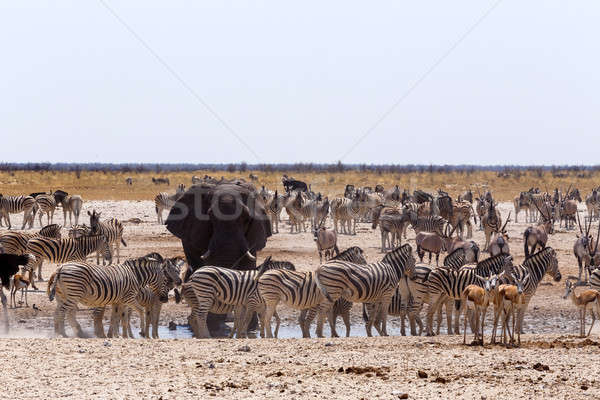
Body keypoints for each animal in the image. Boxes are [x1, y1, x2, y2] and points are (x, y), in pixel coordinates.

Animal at [47, 256, 180, 338]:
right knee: (61, 313)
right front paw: (141, 332)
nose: (165, 299)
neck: (135, 276)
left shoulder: (119, 301)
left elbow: (117, 318)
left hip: (63, 296)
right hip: (73, 294)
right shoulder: (129, 298)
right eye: (165, 280)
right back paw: (60, 334)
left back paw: (62, 333)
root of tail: (61, 267)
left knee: (60, 313)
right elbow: (140, 312)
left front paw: (115, 335)